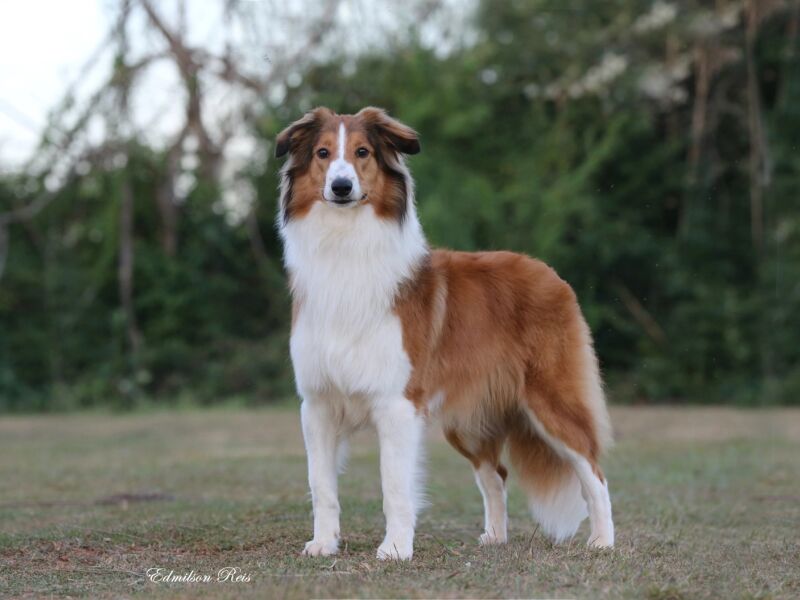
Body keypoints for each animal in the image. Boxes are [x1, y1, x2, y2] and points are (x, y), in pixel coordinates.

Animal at [274, 105, 612, 560]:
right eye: (323, 153)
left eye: (363, 152)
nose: (341, 187)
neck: (346, 245)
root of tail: (549, 273)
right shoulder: (318, 403)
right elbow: (321, 484)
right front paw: (324, 543)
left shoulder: (397, 403)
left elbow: (395, 485)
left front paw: (395, 549)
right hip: (468, 422)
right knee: (496, 475)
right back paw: (495, 537)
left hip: (551, 400)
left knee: (594, 471)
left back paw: (604, 541)